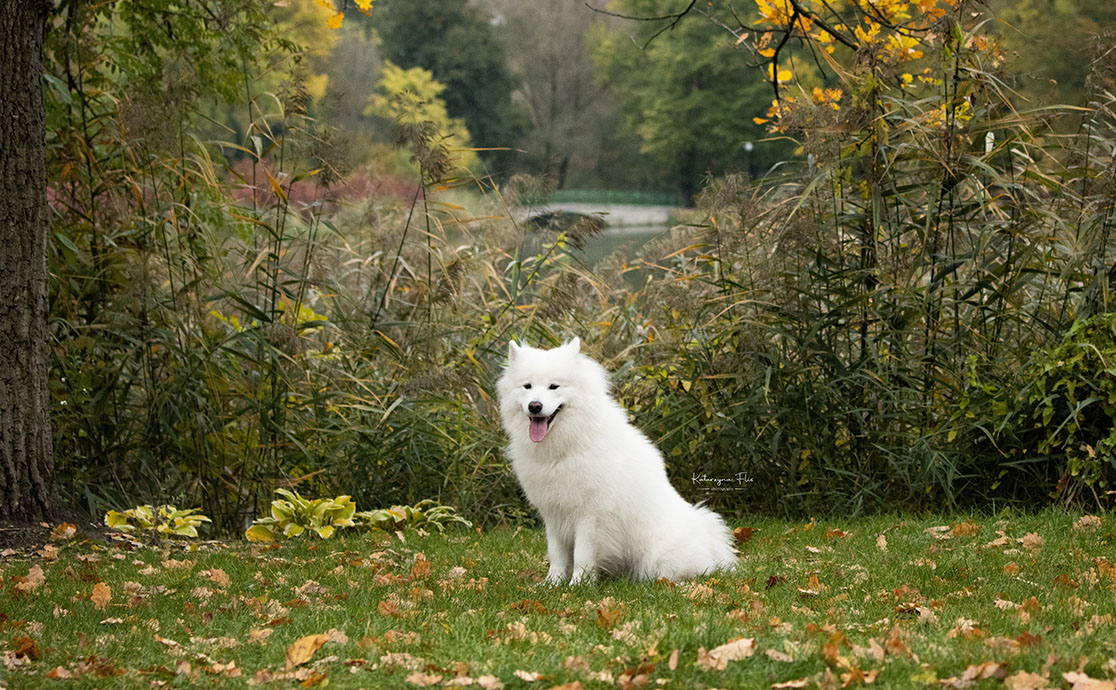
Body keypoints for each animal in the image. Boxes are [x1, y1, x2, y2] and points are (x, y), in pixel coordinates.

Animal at [499, 337, 741, 580]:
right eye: (527, 386)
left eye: (554, 386)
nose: (535, 406)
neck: (569, 444)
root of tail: (707, 538)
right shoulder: (554, 515)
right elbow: (556, 555)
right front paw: (552, 583)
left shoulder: (590, 517)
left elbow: (582, 557)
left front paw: (578, 583)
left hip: (656, 556)